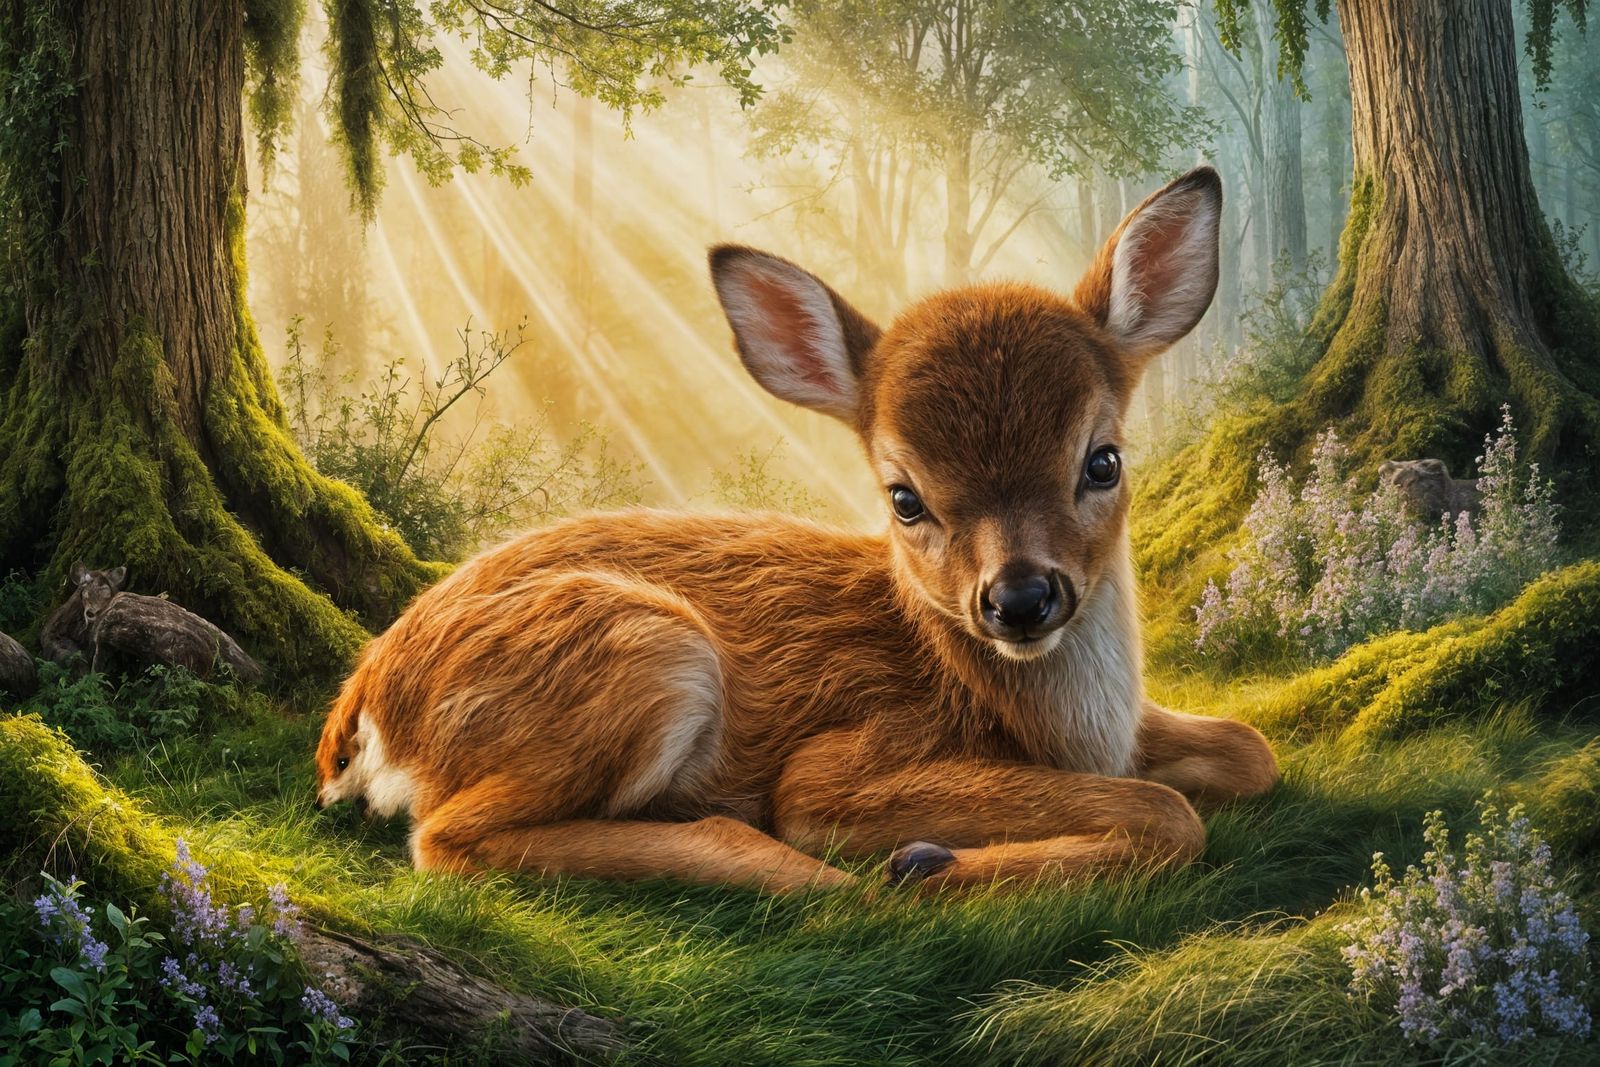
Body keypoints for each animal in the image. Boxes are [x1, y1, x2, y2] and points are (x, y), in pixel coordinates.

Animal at [315, 166, 1279, 893]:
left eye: (1103, 460)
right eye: (903, 496)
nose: (1020, 597)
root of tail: (363, 707)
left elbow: (1251, 747)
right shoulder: (839, 764)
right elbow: (1168, 812)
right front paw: (927, 861)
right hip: (644, 650)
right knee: (446, 836)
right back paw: (827, 875)